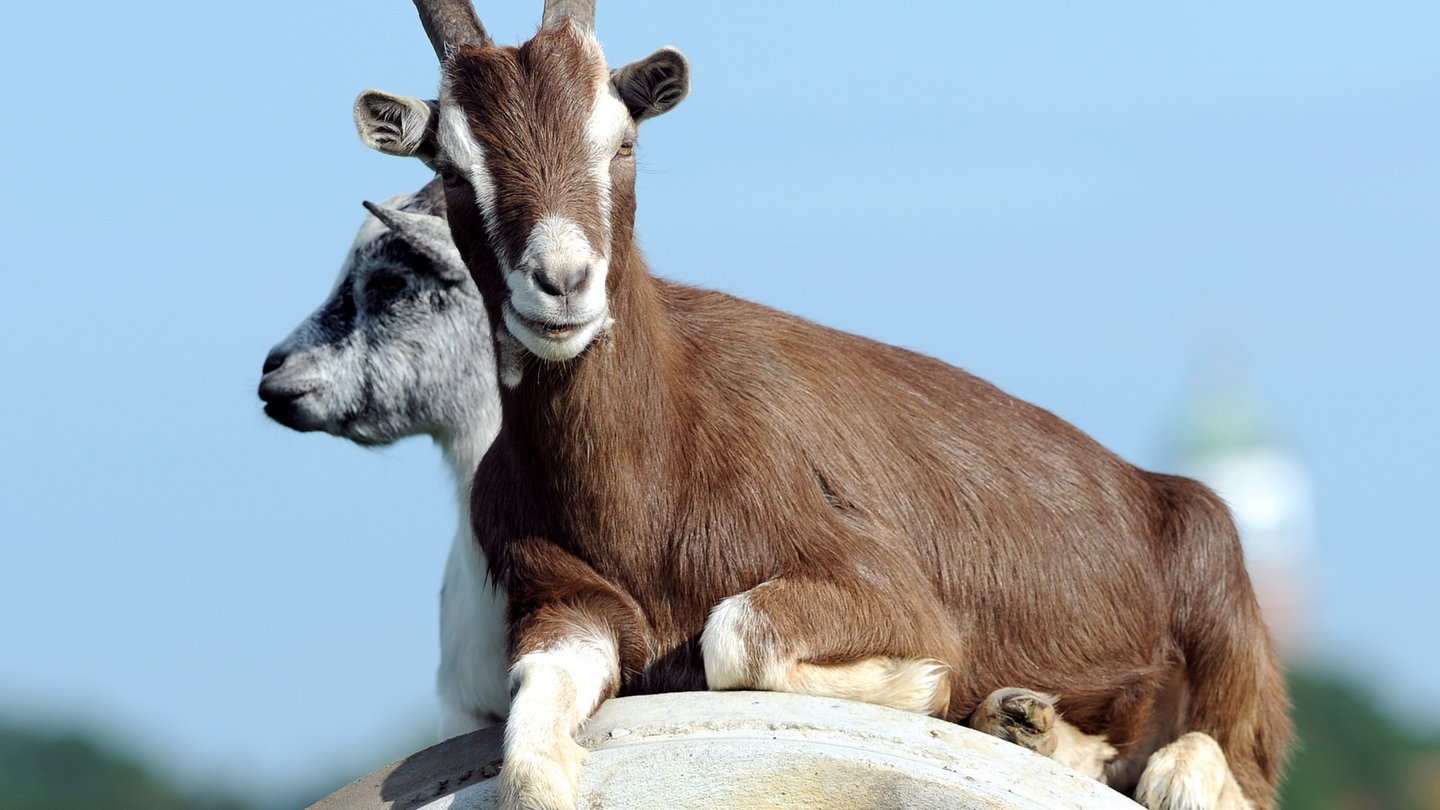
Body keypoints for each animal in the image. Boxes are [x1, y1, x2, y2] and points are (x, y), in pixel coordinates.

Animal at [351, 3, 1296, 801]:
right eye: (452, 167)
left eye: (620, 140)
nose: (561, 285)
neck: (652, 472)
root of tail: (1152, 488)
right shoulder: (563, 606)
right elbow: (529, 744)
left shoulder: (887, 585)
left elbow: (735, 633)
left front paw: (923, 683)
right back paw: (1025, 724)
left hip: (1219, 589)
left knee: (1228, 767)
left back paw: (1119, 755)